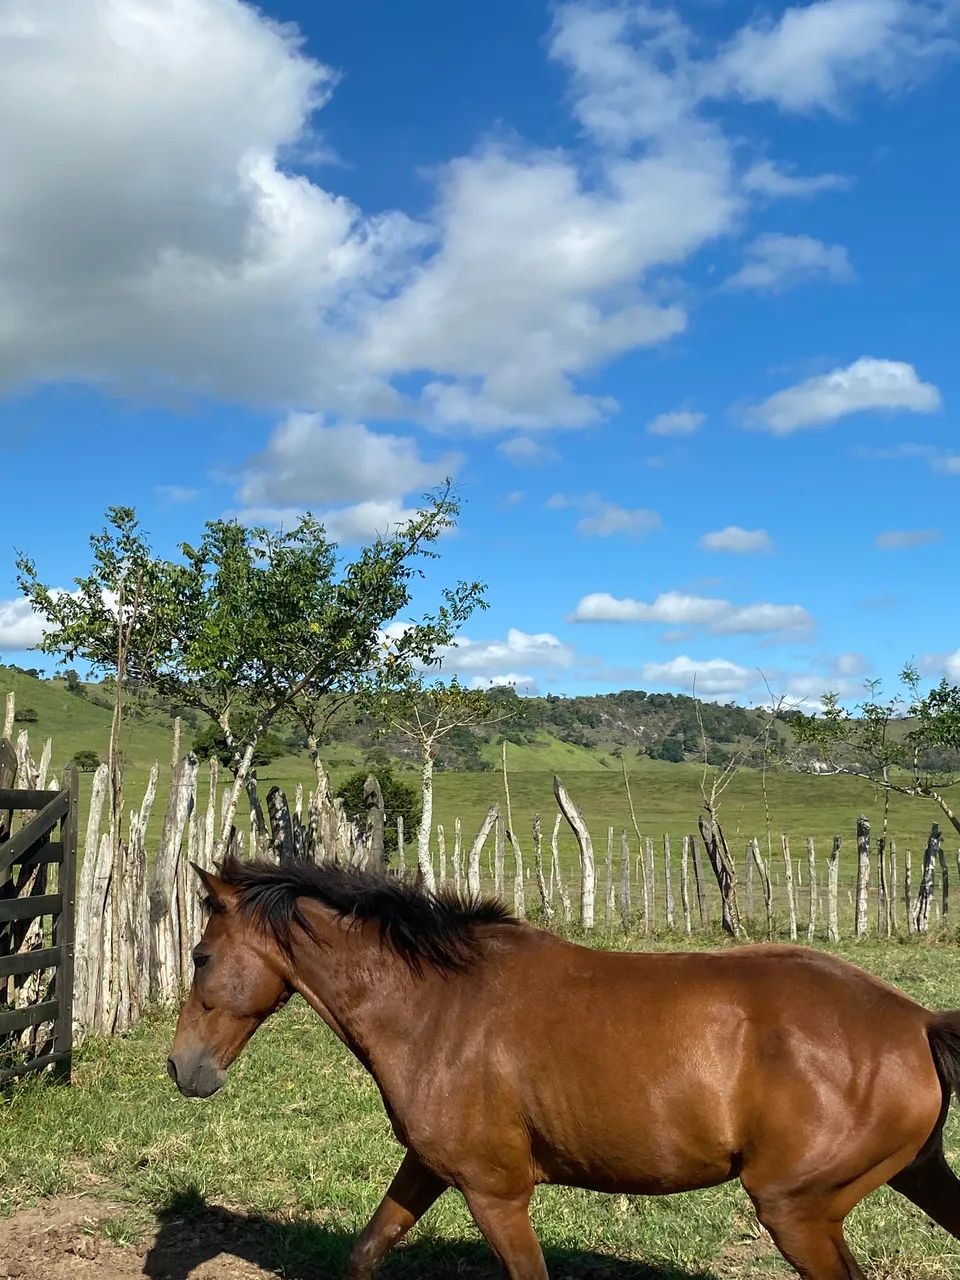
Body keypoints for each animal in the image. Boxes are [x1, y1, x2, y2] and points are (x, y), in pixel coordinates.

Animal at [167, 855, 960, 1279]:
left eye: (200, 956)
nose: (182, 1069)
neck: (439, 1006)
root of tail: (917, 1022)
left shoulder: (496, 1191)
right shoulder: (430, 1165)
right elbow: (367, 1251)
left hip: (797, 1210)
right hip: (913, 1175)